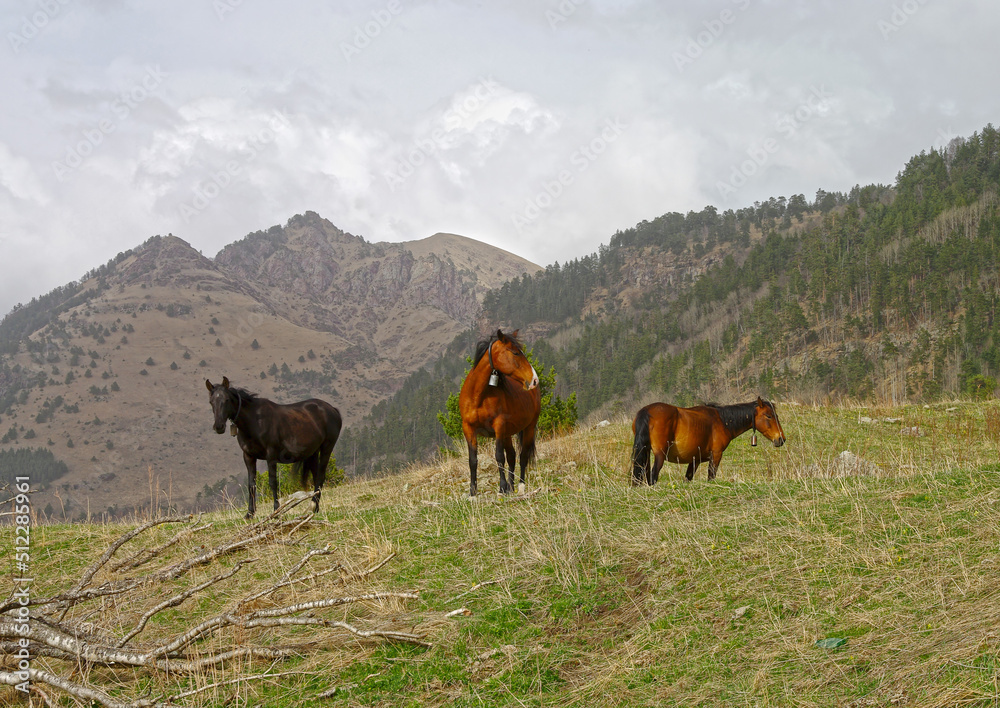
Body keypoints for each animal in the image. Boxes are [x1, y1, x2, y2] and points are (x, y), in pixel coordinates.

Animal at [206, 377, 342, 517]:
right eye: (211, 402)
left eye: (226, 399)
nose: (219, 426)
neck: (255, 421)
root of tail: (333, 409)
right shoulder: (248, 456)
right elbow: (251, 484)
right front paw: (250, 513)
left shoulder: (271, 456)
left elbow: (273, 482)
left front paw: (276, 510)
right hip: (313, 452)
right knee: (316, 478)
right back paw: (314, 508)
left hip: (326, 448)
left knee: (321, 476)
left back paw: (313, 507)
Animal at [459, 329, 541, 497]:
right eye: (515, 353)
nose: (534, 380)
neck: (478, 396)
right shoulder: (468, 428)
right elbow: (473, 460)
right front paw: (472, 491)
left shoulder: (499, 425)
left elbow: (499, 456)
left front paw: (502, 488)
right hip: (507, 433)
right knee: (512, 456)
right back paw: (511, 486)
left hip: (528, 427)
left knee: (522, 456)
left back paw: (520, 486)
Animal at [631, 397, 785, 485]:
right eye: (769, 416)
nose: (781, 439)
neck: (722, 420)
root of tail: (647, 411)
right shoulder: (716, 455)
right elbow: (711, 477)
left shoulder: (695, 460)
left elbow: (688, 478)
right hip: (659, 455)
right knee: (653, 476)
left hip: (645, 453)